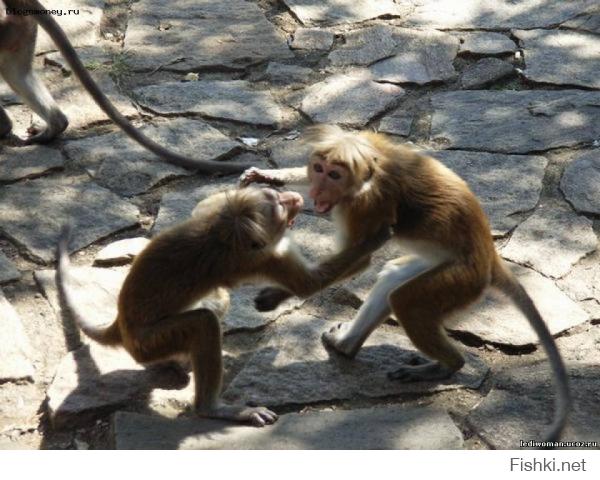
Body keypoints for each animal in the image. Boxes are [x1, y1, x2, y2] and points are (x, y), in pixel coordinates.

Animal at [56, 186, 392, 426]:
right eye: (280, 207)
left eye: (277, 198)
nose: (293, 196)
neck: (226, 236)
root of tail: (122, 324)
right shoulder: (264, 256)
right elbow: (309, 284)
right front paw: (374, 239)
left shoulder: (217, 218)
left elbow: (203, 206)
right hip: (149, 341)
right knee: (203, 322)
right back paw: (212, 409)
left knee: (217, 301)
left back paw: (179, 362)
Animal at [239, 124, 572, 442]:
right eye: (318, 168)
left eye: (334, 175)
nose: (318, 188)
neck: (368, 172)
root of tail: (488, 256)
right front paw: (271, 175)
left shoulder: (366, 207)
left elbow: (360, 261)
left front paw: (277, 295)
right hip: (445, 269)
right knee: (392, 280)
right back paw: (346, 346)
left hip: (461, 279)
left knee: (407, 302)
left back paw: (447, 365)